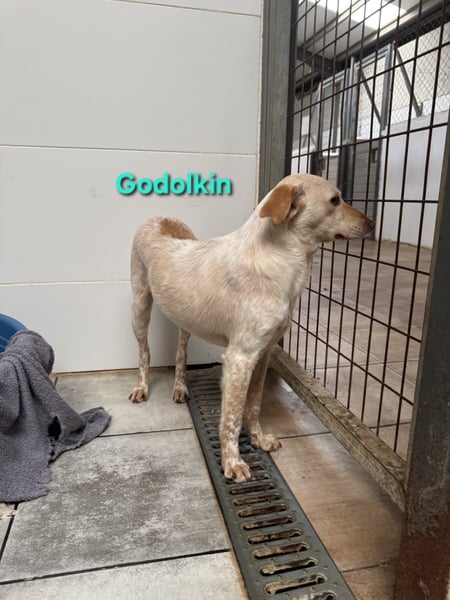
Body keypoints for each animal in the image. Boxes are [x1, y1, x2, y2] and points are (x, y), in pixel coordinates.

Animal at [129, 173, 375, 482]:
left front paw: (259, 439)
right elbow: (232, 418)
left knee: (181, 352)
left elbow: (254, 405)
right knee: (144, 352)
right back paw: (141, 387)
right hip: (139, 308)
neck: (283, 261)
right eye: (335, 200)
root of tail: (160, 217)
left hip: (185, 319)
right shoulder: (240, 357)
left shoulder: (264, 352)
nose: (372, 223)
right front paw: (232, 462)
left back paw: (180, 387)